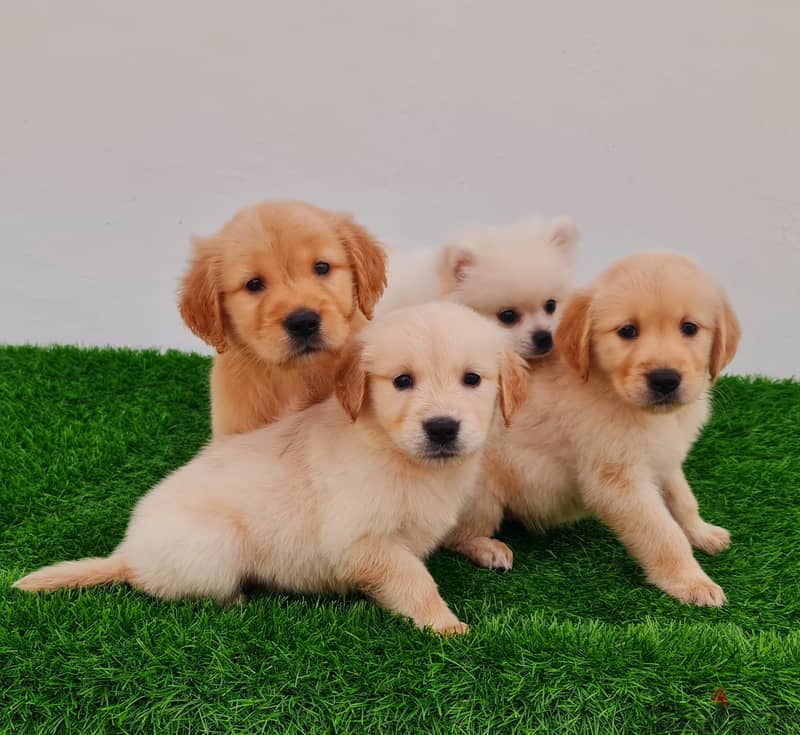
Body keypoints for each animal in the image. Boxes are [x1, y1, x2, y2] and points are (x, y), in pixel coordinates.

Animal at [15, 302, 528, 636]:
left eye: (473, 379)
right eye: (402, 381)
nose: (442, 428)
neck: (393, 451)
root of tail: (127, 552)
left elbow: (452, 533)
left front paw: (482, 545)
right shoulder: (359, 543)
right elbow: (414, 581)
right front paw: (445, 624)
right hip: (216, 545)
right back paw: (237, 596)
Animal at [446, 253, 740, 608]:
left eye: (690, 328)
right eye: (627, 331)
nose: (665, 379)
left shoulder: (665, 459)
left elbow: (683, 499)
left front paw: (701, 531)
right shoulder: (618, 483)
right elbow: (663, 534)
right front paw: (691, 580)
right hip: (482, 498)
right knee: (453, 537)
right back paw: (488, 548)